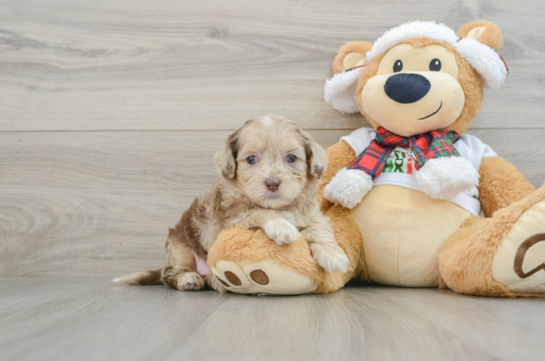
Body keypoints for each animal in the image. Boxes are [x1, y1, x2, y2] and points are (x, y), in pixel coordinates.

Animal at [118, 115, 348, 292]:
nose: (273, 182)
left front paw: (334, 254)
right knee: (170, 274)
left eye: (291, 158)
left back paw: (215, 281)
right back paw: (189, 279)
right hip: (179, 247)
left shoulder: (311, 214)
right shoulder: (230, 221)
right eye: (251, 160)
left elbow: (320, 228)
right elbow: (259, 212)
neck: (279, 206)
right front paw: (281, 226)